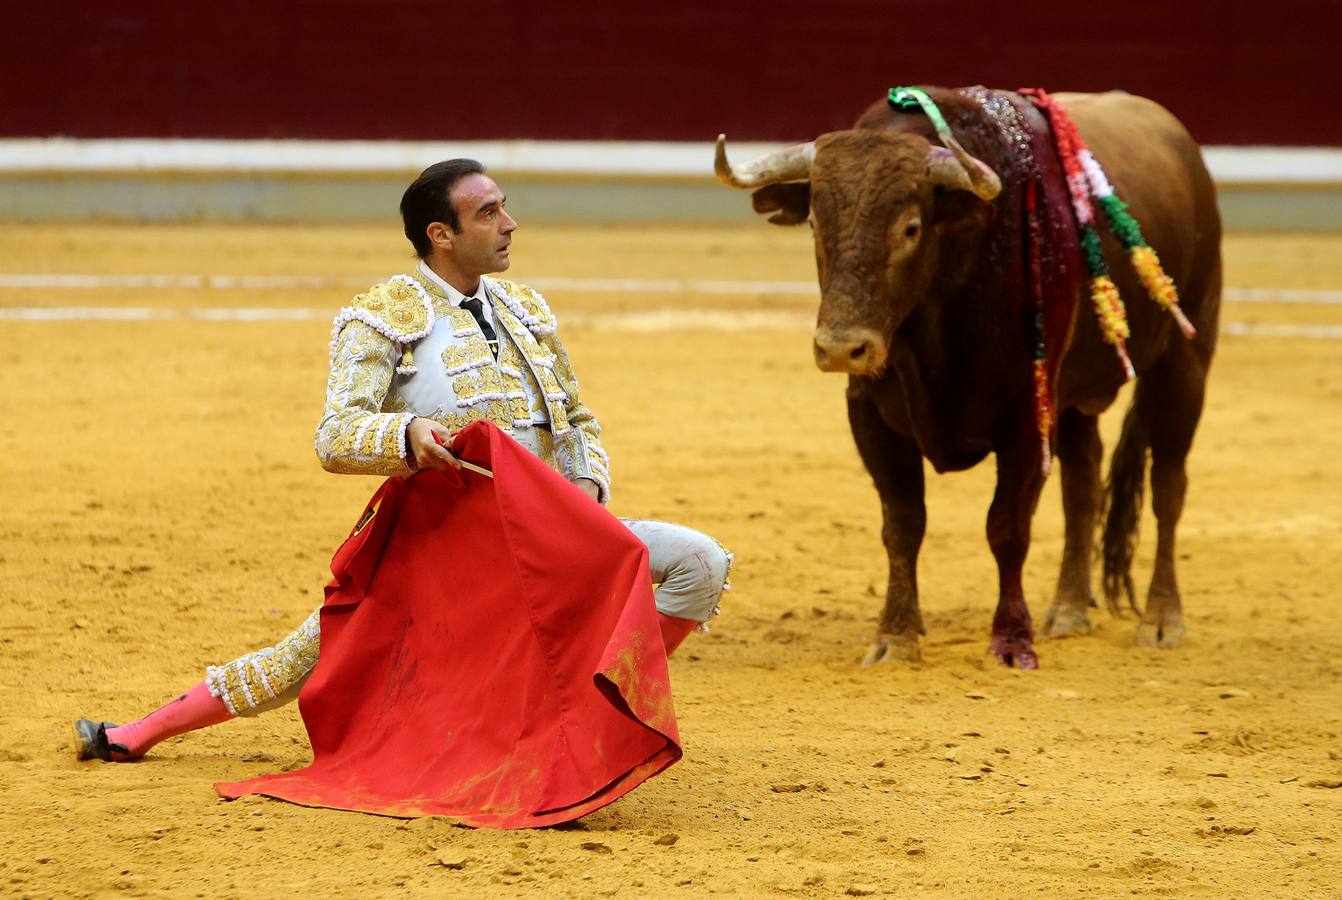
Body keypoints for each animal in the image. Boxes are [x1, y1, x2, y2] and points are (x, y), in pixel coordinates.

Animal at [719, 87, 1223, 667]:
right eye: (815, 224)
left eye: (910, 229)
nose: (842, 347)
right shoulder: (869, 413)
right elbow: (903, 523)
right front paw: (895, 635)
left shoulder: (1026, 418)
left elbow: (1006, 527)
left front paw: (1011, 640)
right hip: (1072, 397)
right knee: (1083, 483)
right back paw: (1068, 609)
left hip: (1184, 360)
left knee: (1168, 485)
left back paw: (1162, 619)